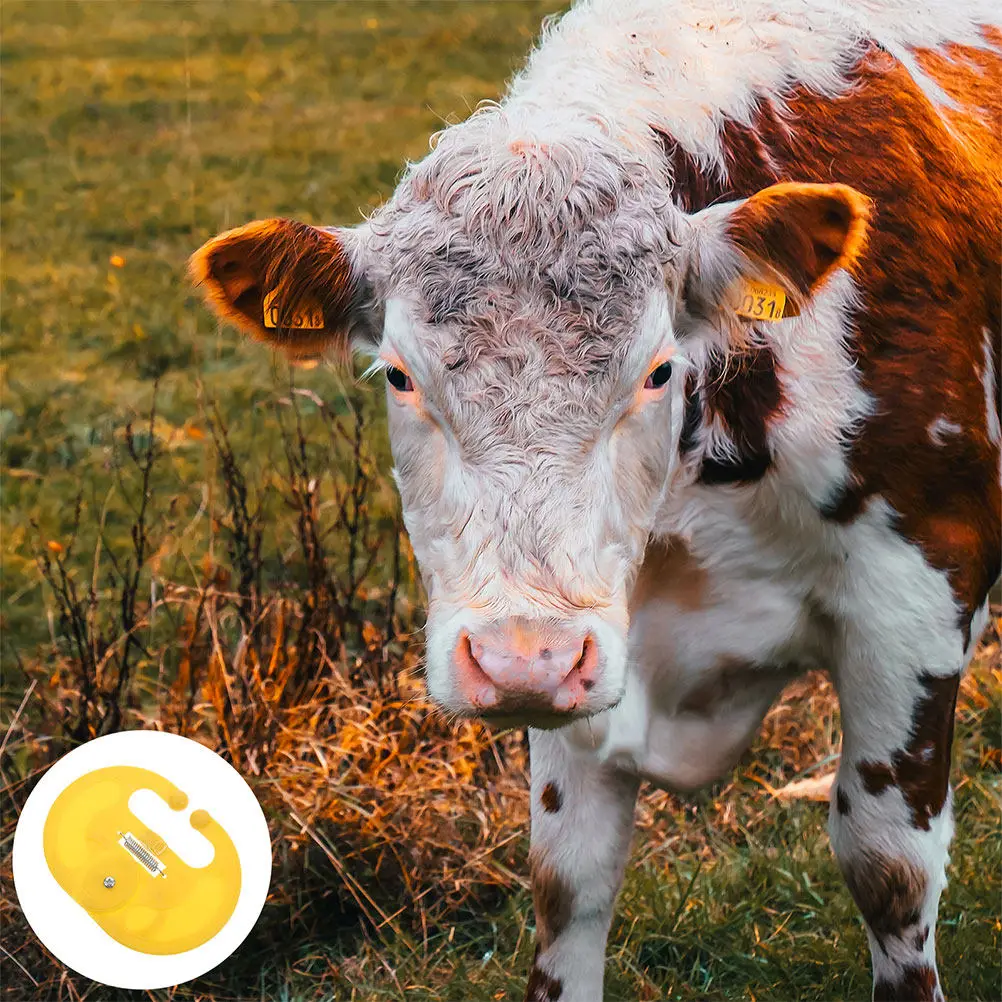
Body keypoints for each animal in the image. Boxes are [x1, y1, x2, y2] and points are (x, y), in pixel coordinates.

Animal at [189, 2, 1001, 999]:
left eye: (658, 370)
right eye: (400, 375)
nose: (519, 663)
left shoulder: (916, 596)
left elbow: (889, 869)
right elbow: (567, 881)